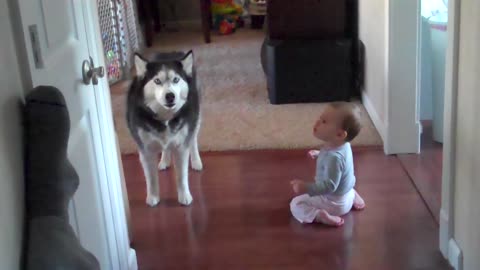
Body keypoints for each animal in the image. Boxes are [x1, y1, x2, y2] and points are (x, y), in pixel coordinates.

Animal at [126, 50, 202, 206]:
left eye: (176, 79)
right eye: (157, 81)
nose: (170, 96)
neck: (165, 117)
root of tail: (170, 52)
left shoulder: (181, 147)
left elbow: (181, 175)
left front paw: (185, 196)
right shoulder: (146, 150)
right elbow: (150, 178)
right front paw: (153, 197)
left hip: (196, 118)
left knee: (193, 140)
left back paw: (196, 161)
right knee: (166, 148)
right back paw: (164, 161)